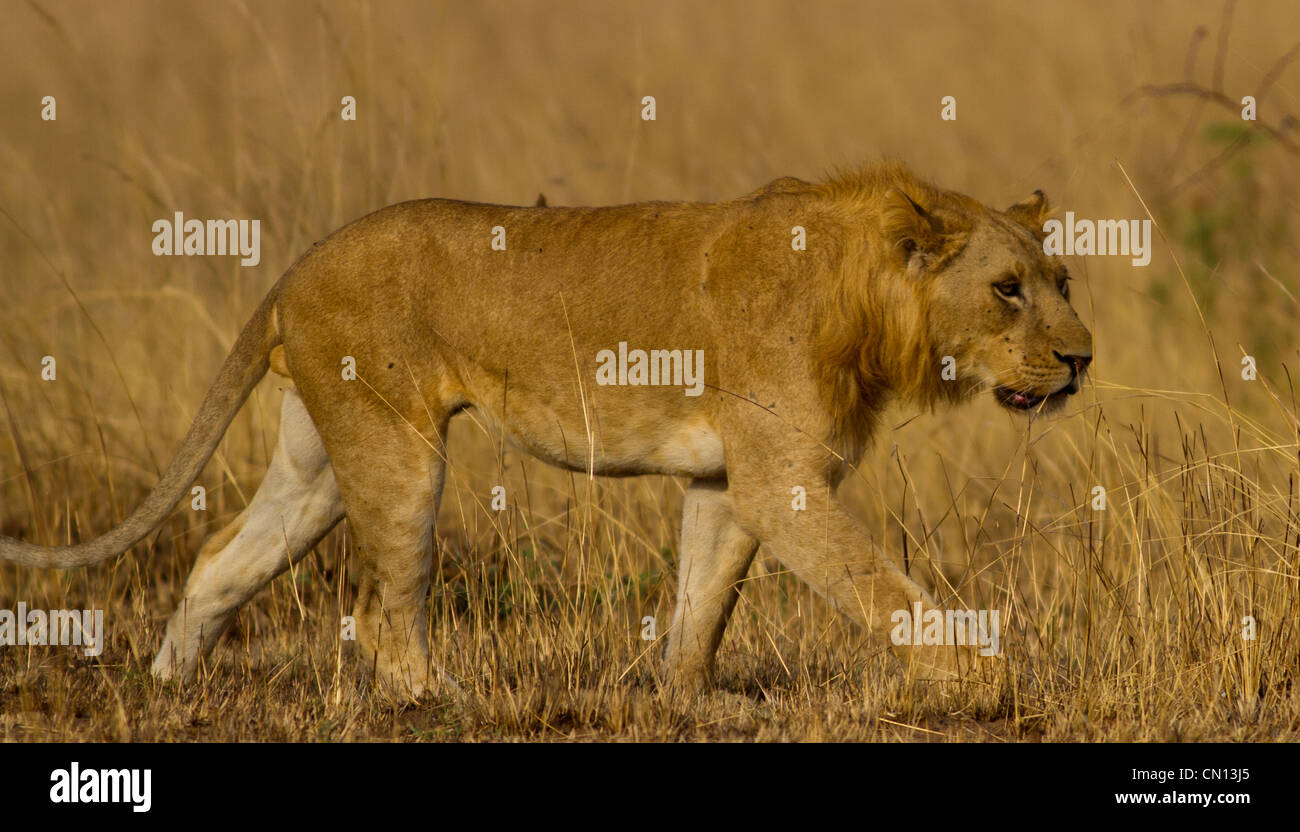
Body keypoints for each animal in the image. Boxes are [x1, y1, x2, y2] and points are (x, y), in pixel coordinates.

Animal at [5, 161, 1092, 696]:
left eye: (1062, 281)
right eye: (1006, 290)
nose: (1081, 358)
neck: (869, 299)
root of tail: (295, 265)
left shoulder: (729, 478)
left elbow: (704, 598)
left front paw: (684, 698)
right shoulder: (780, 478)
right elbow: (886, 591)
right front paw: (984, 680)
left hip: (318, 459)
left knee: (221, 556)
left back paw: (168, 686)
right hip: (399, 450)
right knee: (382, 613)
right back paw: (442, 698)